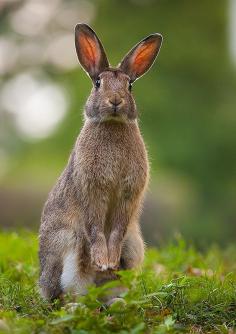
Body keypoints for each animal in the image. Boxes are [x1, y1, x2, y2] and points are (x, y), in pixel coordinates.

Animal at [38, 23, 162, 300]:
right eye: (97, 83)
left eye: (129, 85)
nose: (115, 101)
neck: (113, 125)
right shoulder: (92, 189)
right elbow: (95, 227)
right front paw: (102, 260)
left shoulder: (127, 195)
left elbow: (116, 229)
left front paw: (109, 261)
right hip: (68, 243)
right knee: (67, 295)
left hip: (133, 247)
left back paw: (116, 299)